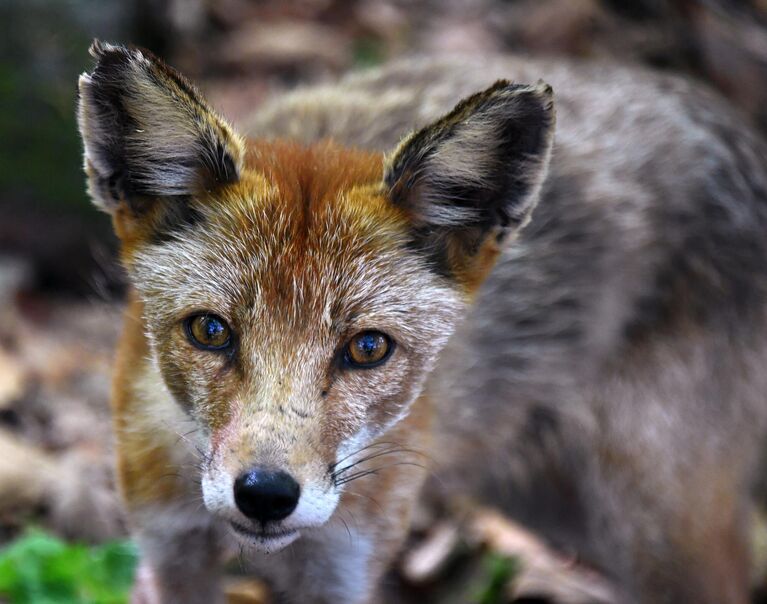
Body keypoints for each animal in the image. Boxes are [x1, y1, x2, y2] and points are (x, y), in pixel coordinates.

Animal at [75, 39, 767, 604]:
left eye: (368, 348)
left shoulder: (344, 569)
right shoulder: (169, 549)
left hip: (653, 526)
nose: (266, 494)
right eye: (211, 332)